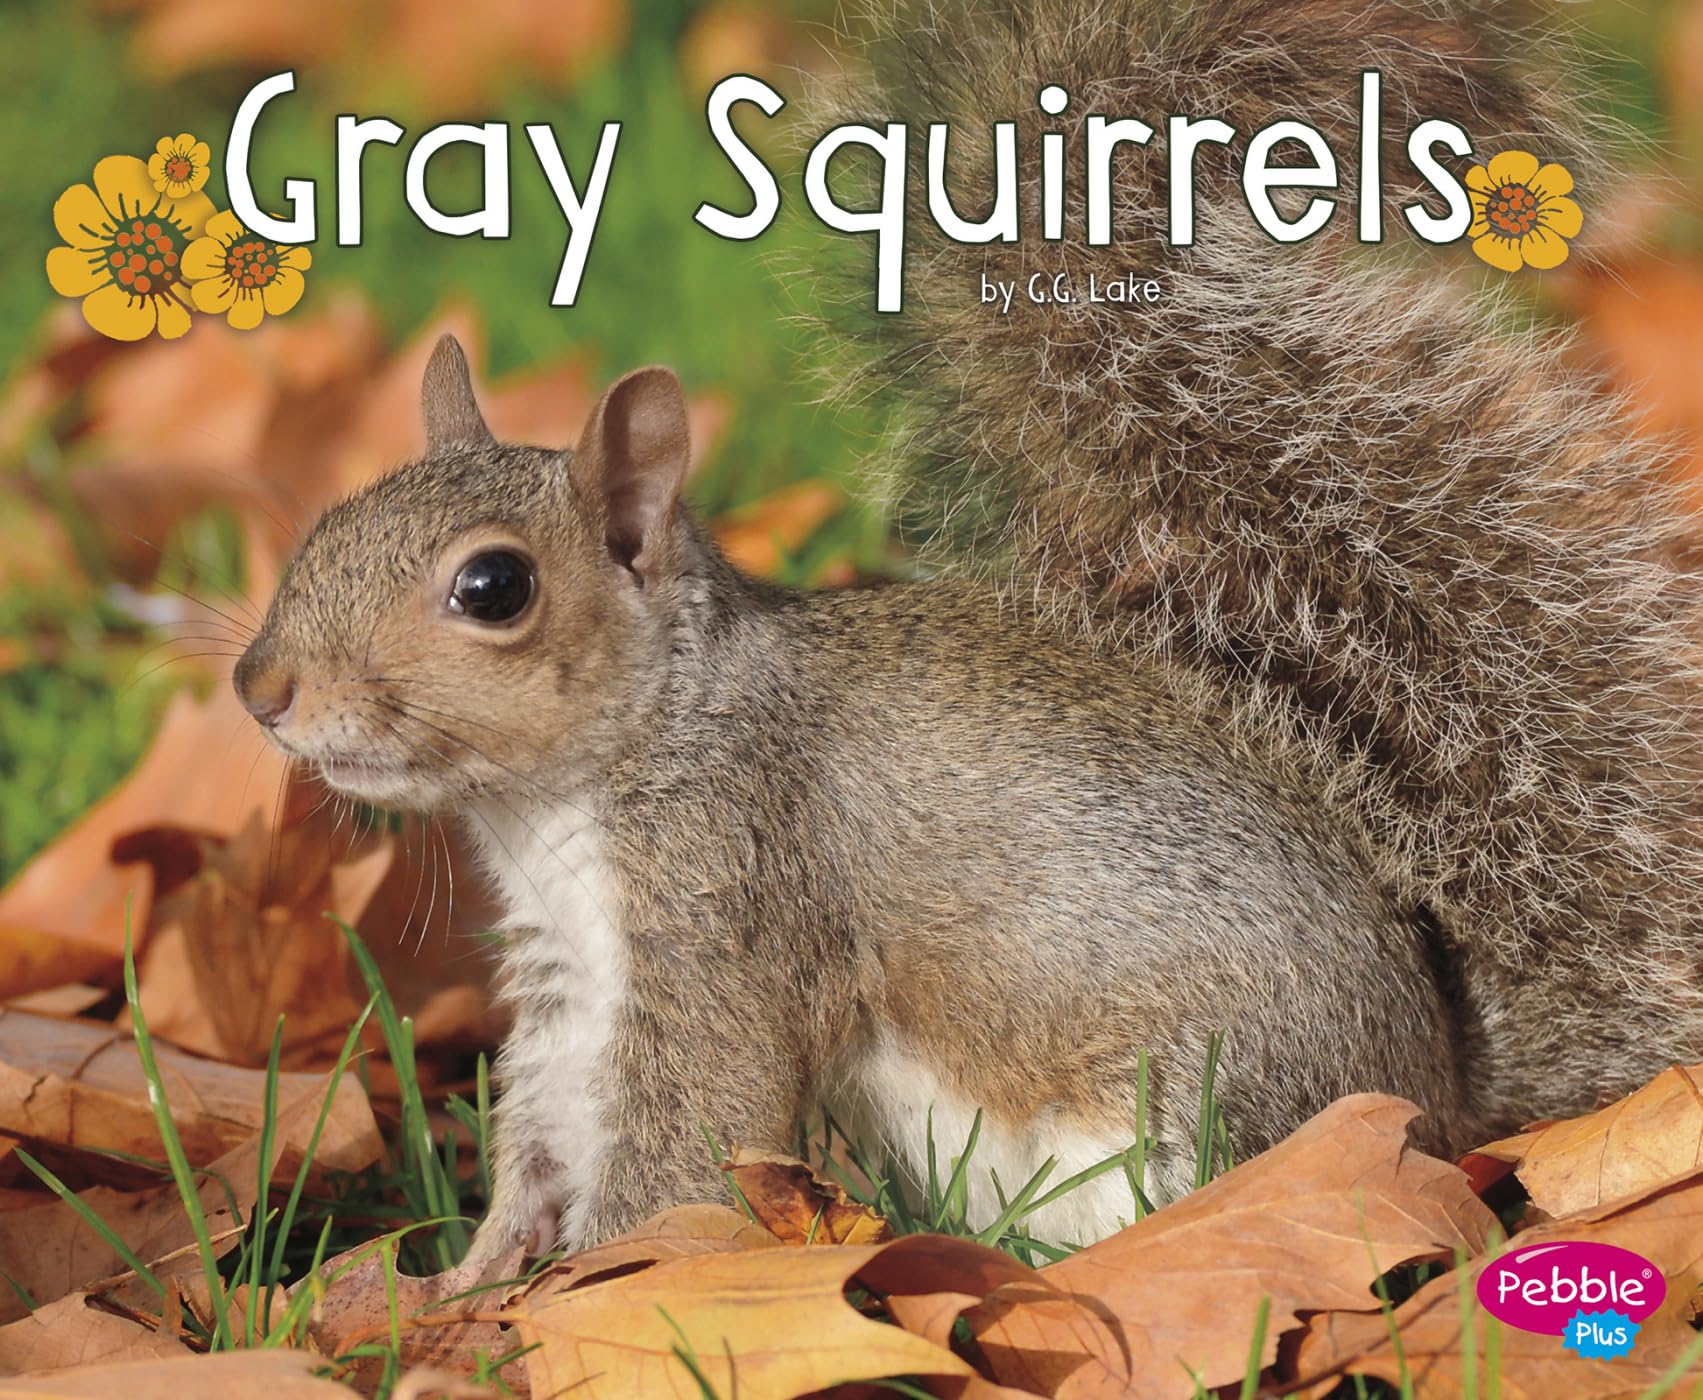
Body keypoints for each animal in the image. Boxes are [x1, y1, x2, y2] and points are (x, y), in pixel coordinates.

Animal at [234, 0, 1703, 1263]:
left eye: (492, 588)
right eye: (329, 518)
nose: (262, 689)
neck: (598, 770)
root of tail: (1445, 1108)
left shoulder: (730, 897)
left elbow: (684, 1139)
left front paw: (556, 1310)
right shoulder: (566, 982)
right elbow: (543, 1141)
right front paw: (470, 1283)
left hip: (1186, 1116)